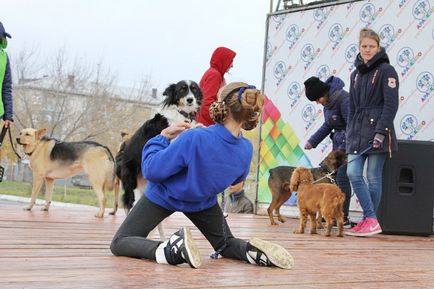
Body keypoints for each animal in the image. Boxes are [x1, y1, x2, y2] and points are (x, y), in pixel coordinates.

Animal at [116, 79, 203, 212]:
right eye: (181, 89)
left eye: (194, 89)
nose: (190, 100)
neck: (181, 113)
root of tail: (121, 157)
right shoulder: (170, 138)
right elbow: (184, 132)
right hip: (132, 180)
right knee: (130, 203)